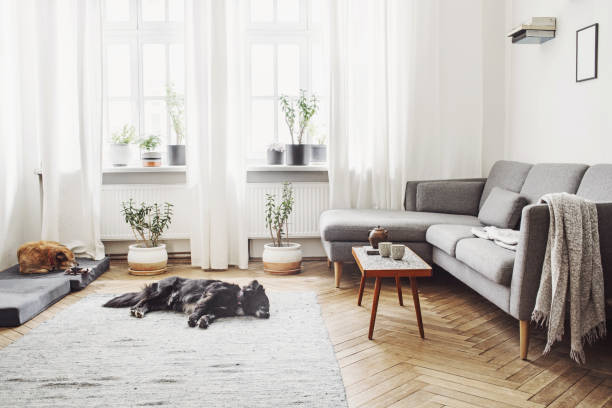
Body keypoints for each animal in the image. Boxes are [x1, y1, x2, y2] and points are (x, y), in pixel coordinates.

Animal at [103, 278, 270, 328]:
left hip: (161, 303)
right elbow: (200, 309)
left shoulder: (217, 310)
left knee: (148, 305)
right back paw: (136, 310)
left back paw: (140, 311)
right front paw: (193, 320)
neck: (237, 299)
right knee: (143, 300)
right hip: (162, 292)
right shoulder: (211, 294)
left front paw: (203, 321)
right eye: (264, 303)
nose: (268, 315)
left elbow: (208, 315)